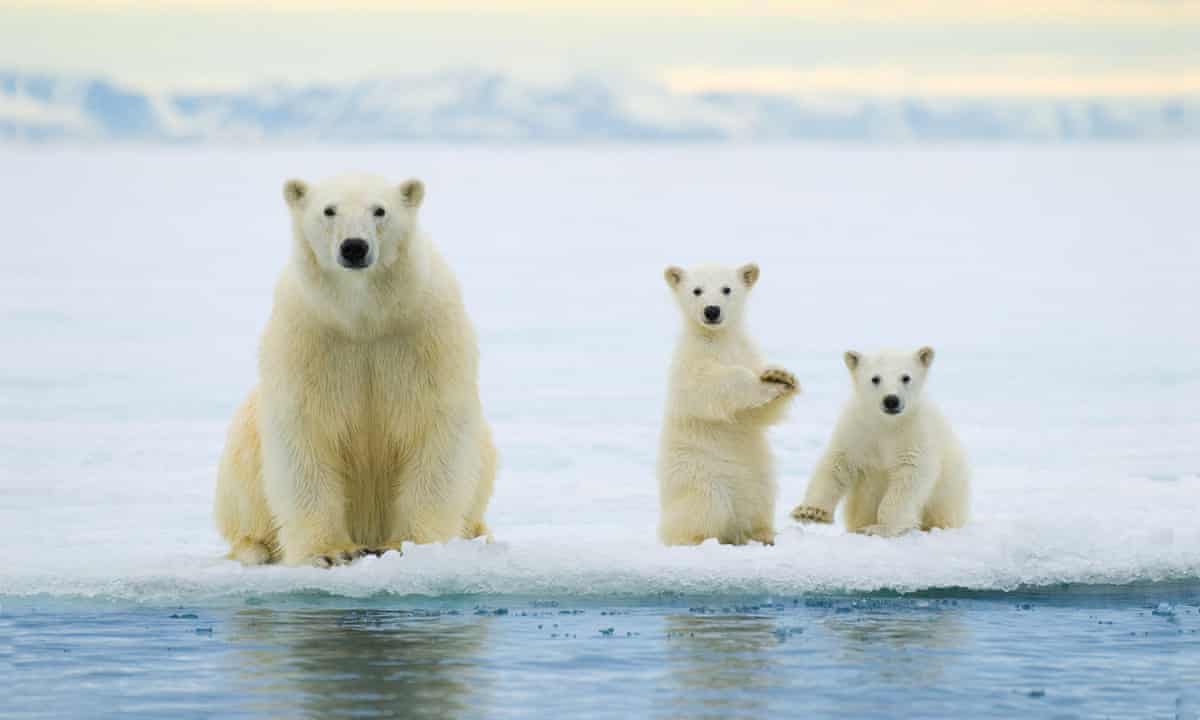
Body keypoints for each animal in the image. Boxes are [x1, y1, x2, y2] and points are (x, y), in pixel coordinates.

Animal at [214, 172, 496, 567]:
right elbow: (304, 435)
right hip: (244, 453)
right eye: (328, 210)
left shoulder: (425, 336)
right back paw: (254, 547)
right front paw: (330, 552)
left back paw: (478, 535)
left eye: (380, 210)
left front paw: (408, 545)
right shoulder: (308, 339)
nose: (354, 247)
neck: (364, 319)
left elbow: (435, 429)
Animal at [657, 263, 799, 546]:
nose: (712, 310)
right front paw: (765, 383)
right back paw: (696, 539)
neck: (718, 338)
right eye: (697, 290)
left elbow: (759, 415)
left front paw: (781, 377)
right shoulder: (690, 360)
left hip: (757, 473)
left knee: (760, 499)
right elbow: (706, 385)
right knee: (706, 506)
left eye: (727, 289)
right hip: (698, 472)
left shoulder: (746, 351)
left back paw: (764, 534)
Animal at [790, 346, 969, 536]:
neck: (887, 424)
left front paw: (879, 528)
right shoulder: (858, 430)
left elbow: (909, 476)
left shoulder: (915, 434)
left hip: (948, 499)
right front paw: (810, 512)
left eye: (906, 377)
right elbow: (837, 464)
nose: (891, 400)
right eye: (875, 378)